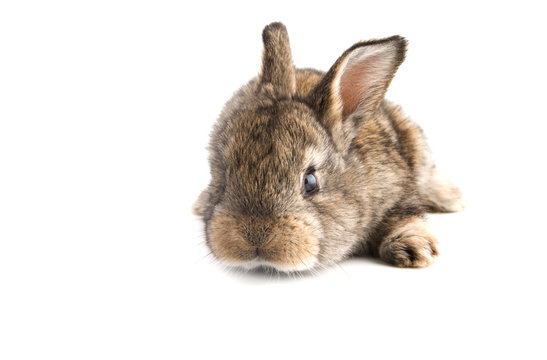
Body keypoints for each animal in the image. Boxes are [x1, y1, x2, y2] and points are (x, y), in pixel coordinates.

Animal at [194, 21, 462, 272]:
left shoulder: (399, 191)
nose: (255, 238)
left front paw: (415, 250)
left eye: (310, 182)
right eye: (223, 176)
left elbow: (406, 217)